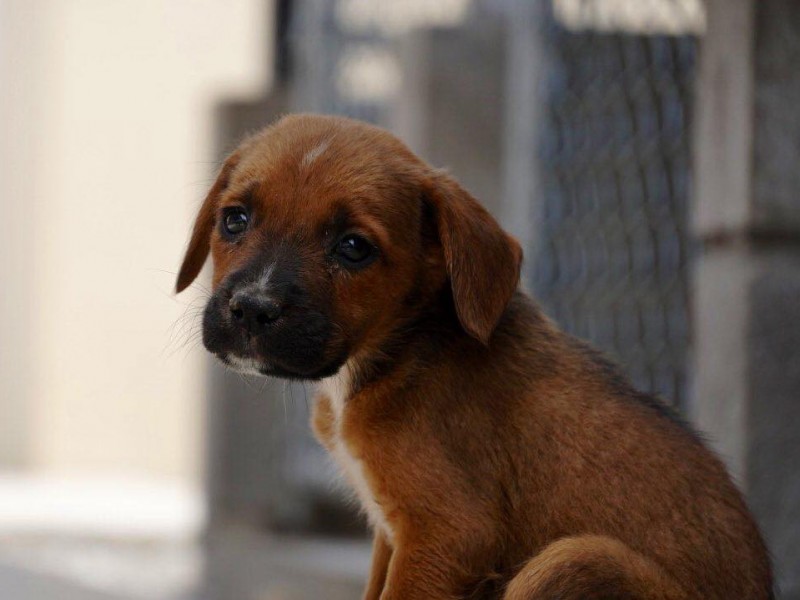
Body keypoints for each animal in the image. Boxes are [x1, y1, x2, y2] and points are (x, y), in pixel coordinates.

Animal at [178, 113, 772, 600]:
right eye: (235, 219)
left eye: (353, 248)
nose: (252, 308)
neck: (397, 349)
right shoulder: (391, 535)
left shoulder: (448, 535)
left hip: (575, 559)